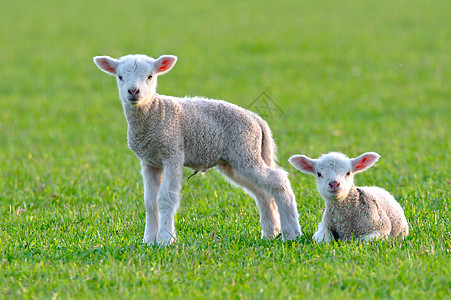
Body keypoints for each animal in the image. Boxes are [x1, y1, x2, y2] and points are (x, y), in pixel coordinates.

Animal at [93, 54, 302, 246]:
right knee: (262, 192)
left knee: (278, 180)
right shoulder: (149, 161)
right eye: (120, 76)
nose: (133, 91)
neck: (155, 111)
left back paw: (291, 233)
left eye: (150, 76)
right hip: (236, 160)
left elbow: (166, 199)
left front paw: (165, 240)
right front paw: (149, 241)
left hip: (245, 150)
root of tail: (257, 119)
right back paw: (270, 233)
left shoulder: (172, 153)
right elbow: (150, 202)